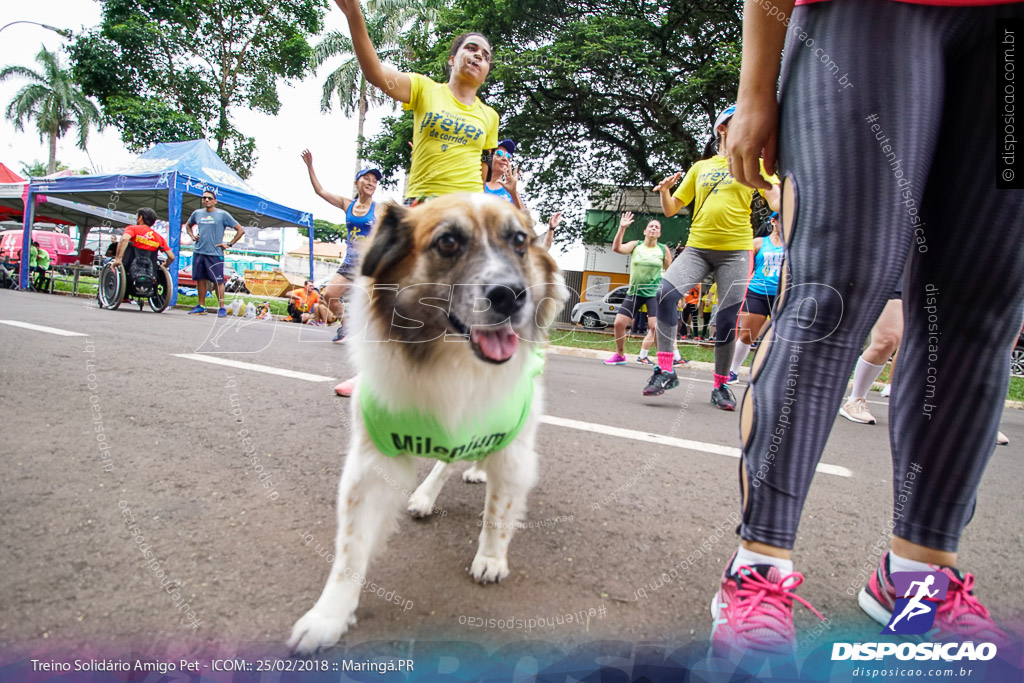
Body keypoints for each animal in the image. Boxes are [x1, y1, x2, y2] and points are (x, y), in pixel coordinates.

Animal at [288, 193, 565, 655]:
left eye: (519, 241)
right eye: (448, 242)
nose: (511, 295)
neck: (451, 362)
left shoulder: (513, 447)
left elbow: (499, 508)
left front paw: (491, 557)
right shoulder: (372, 462)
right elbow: (350, 549)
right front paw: (328, 616)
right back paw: (426, 494)